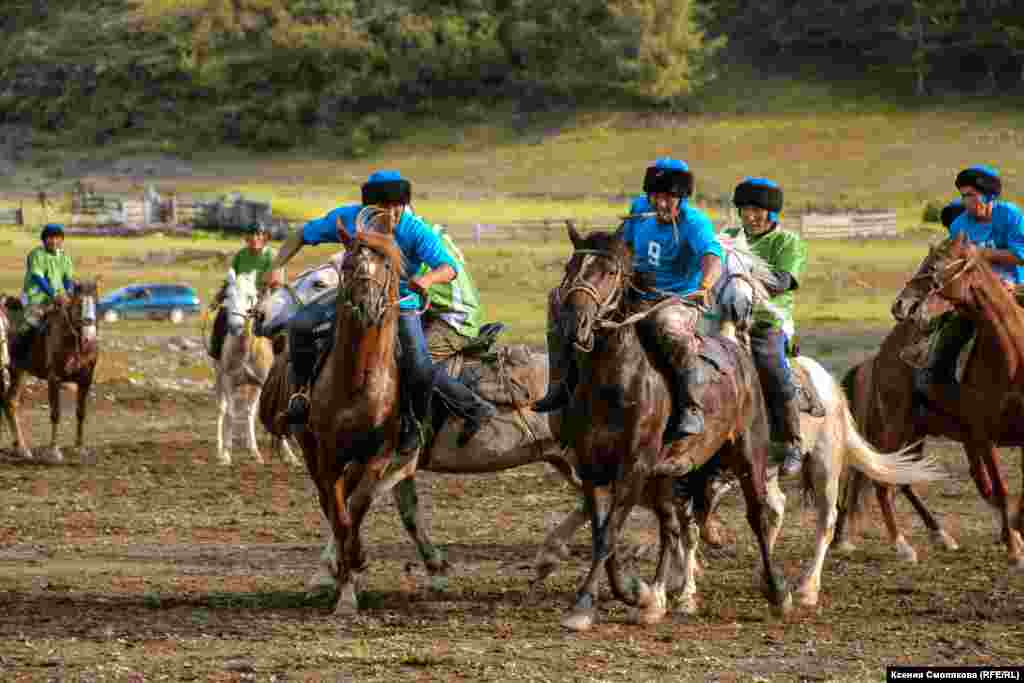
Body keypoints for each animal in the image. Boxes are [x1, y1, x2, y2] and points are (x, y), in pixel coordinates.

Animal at [1, 278, 99, 464]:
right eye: (78, 303)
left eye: (96, 302)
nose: (89, 337)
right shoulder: (54, 378)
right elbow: (55, 413)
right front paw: (54, 451)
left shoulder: (86, 379)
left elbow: (81, 413)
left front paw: (80, 448)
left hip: (19, 372)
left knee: (10, 402)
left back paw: (21, 449)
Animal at [212, 270, 296, 466]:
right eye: (227, 296)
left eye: (250, 296)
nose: (235, 326)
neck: (246, 349)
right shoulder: (228, 380)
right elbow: (231, 413)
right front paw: (226, 453)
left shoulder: (263, 382)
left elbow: (261, 411)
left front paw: (288, 455)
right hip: (218, 375)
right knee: (222, 409)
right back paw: (220, 450)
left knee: (249, 412)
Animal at [557, 227, 786, 634]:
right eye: (571, 267)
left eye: (609, 272)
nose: (574, 324)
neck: (615, 381)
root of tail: (733, 347)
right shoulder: (592, 469)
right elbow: (603, 533)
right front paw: (632, 592)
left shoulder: (632, 468)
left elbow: (609, 534)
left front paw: (584, 605)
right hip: (667, 474)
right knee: (673, 526)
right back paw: (658, 599)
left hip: (748, 454)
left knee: (758, 516)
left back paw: (776, 593)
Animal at [843, 235, 1024, 573]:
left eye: (936, 263)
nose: (900, 305)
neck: (1013, 355)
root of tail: (881, 356)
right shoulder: (983, 435)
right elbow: (999, 488)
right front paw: (1014, 548)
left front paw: (1015, 535)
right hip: (895, 425)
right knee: (883, 479)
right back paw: (903, 546)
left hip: (916, 431)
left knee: (902, 479)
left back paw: (941, 535)